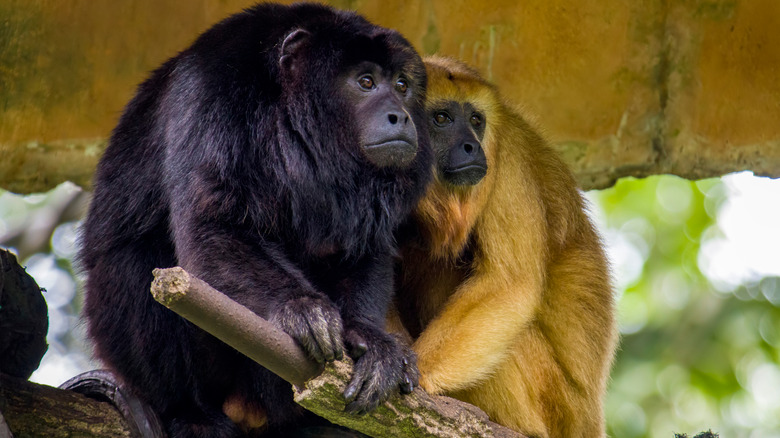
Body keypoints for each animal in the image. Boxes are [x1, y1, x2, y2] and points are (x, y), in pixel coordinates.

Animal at [81, 4, 432, 438]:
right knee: (136, 261)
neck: (288, 118)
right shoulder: (211, 94)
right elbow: (214, 226)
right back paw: (191, 412)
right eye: (365, 81)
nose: (401, 115)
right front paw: (300, 308)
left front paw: (371, 339)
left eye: (401, 84)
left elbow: (361, 250)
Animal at [400, 56, 620, 436]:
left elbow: (509, 283)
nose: (471, 146)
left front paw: (416, 373)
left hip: (554, 400)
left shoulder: (507, 162)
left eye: (476, 121)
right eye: (441, 118)